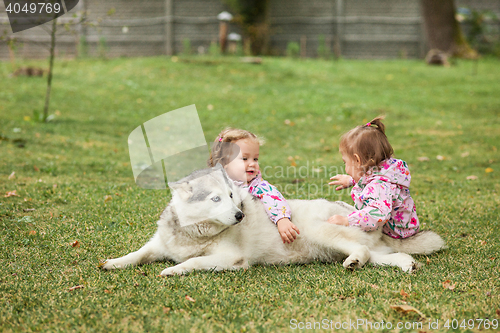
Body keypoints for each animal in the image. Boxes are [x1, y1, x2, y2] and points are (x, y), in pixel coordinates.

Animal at [101, 164, 446, 274]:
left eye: (232, 196)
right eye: (216, 199)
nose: (240, 214)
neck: (197, 234)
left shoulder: (231, 259)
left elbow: (193, 262)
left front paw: (173, 270)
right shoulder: (158, 245)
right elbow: (137, 254)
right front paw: (114, 262)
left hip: (320, 231)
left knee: (361, 251)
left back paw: (354, 262)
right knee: (382, 255)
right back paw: (403, 263)